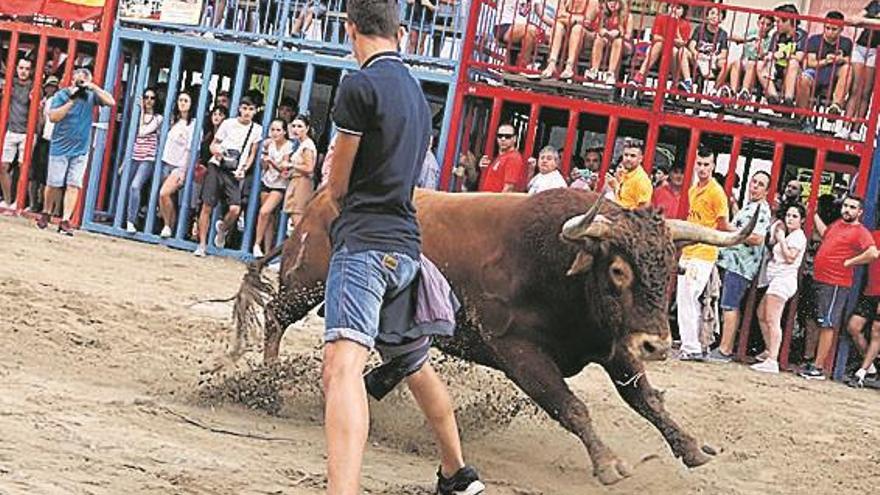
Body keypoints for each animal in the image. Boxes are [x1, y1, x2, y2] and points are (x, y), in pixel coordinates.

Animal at [229, 188, 756, 486]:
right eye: (619, 270)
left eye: (668, 268)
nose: (658, 345)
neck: (559, 268)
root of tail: (317, 201)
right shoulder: (518, 352)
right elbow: (570, 406)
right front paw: (608, 463)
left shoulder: (614, 345)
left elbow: (647, 400)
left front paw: (691, 447)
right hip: (306, 285)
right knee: (275, 316)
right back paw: (268, 384)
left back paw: (371, 385)